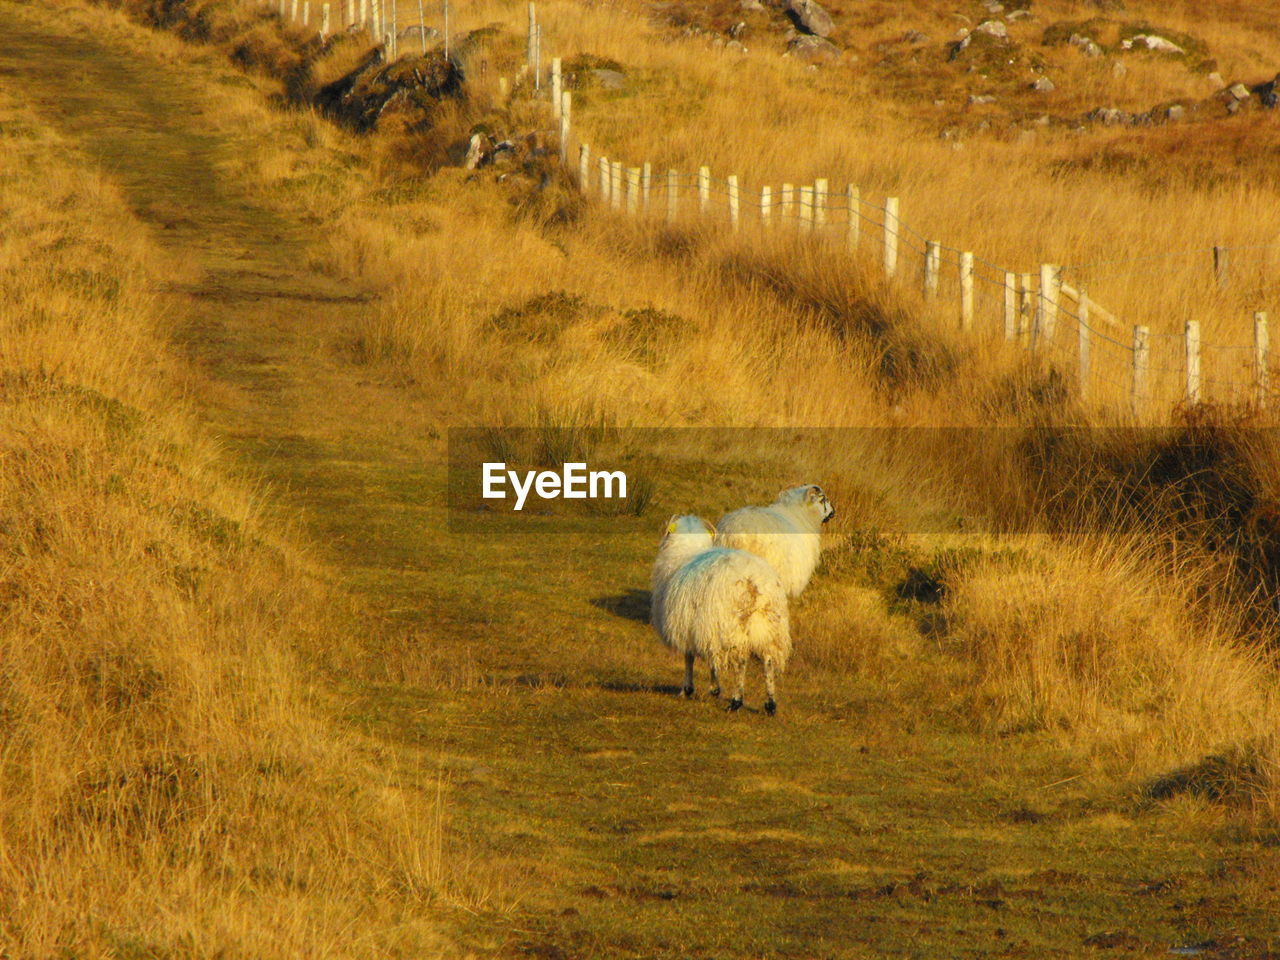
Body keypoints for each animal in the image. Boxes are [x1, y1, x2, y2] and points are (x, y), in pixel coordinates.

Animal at [650, 519, 788, 716]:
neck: (684, 552)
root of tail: (754, 583)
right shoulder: (706, 630)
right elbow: (711, 659)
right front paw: (714, 688)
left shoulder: (690, 627)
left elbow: (690, 658)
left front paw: (689, 689)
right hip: (770, 627)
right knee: (767, 660)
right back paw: (770, 704)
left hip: (734, 626)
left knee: (741, 661)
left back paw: (736, 701)